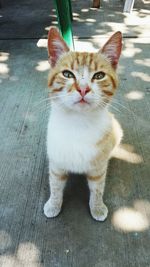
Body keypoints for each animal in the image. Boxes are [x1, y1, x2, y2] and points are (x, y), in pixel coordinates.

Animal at [43, 27, 123, 223]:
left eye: (99, 75)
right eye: (67, 74)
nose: (83, 89)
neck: (78, 123)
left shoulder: (98, 169)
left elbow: (98, 189)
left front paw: (97, 207)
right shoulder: (56, 163)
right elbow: (55, 185)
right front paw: (53, 204)